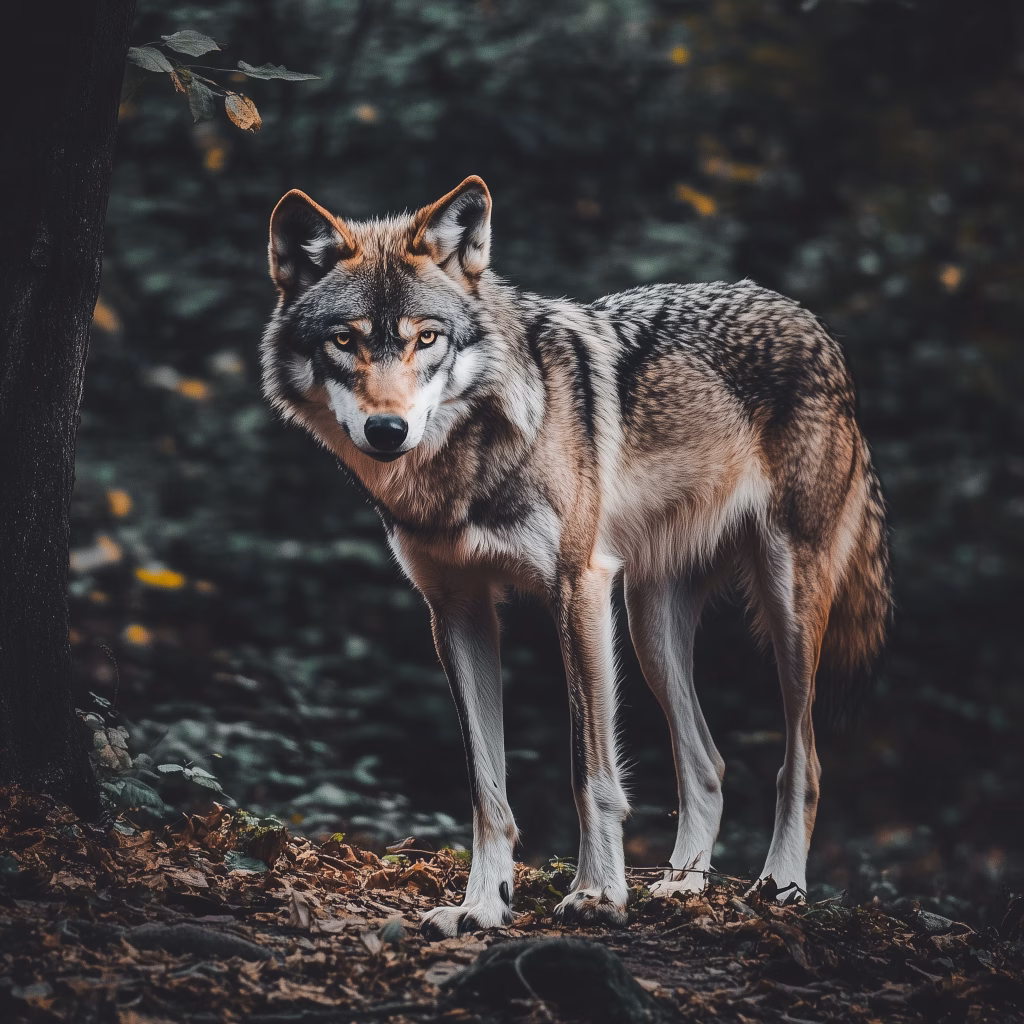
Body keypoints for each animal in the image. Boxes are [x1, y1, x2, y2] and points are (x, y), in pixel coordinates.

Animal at [260, 176, 891, 938]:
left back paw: (781, 885)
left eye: (427, 338)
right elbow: (485, 786)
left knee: (804, 763)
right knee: (707, 764)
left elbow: (588, 771)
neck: (471, 462)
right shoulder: (457, 610)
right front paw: (482, 904)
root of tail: (813, 324)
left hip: (785, 610)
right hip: (650, 629)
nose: (388, 430)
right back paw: (683, 884)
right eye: (344, 339)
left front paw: (596, 894)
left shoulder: (577, 587)